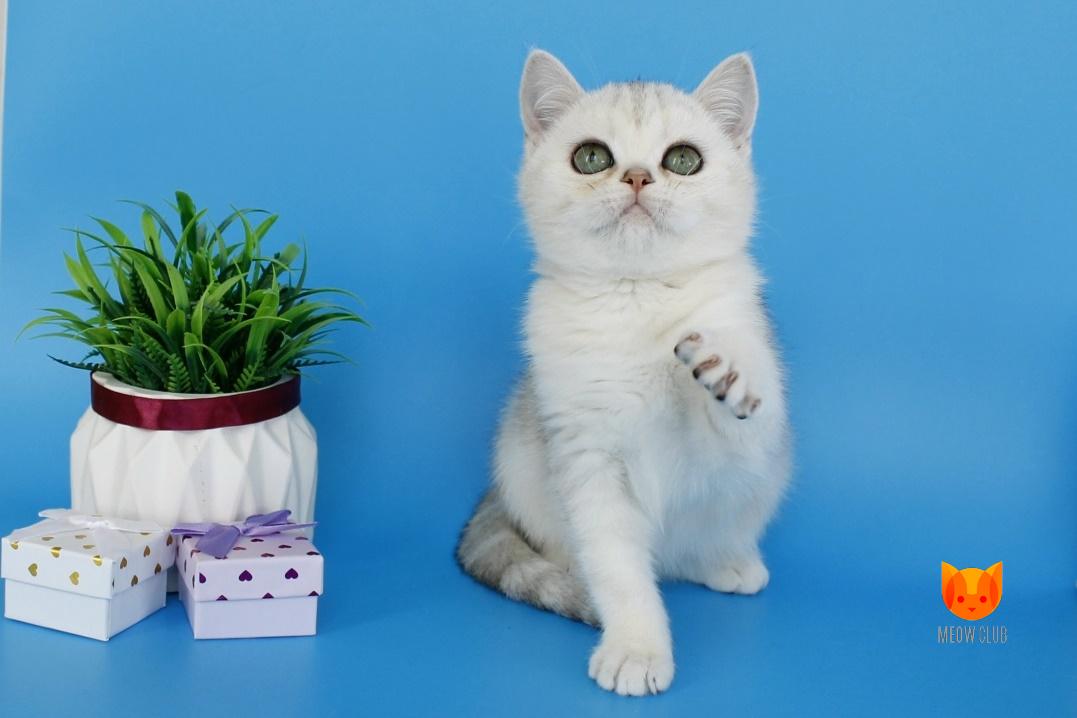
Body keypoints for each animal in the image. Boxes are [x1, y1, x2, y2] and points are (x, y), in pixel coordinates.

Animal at [457, 48, 791, 696]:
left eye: (683, 159)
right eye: (592, 157)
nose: (637, 177)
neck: (639, 298)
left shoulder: (751, 442)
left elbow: (736, 436)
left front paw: (723, 371)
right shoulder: (586, 457)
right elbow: (616, 566)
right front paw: (636, 647)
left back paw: (727, 561)